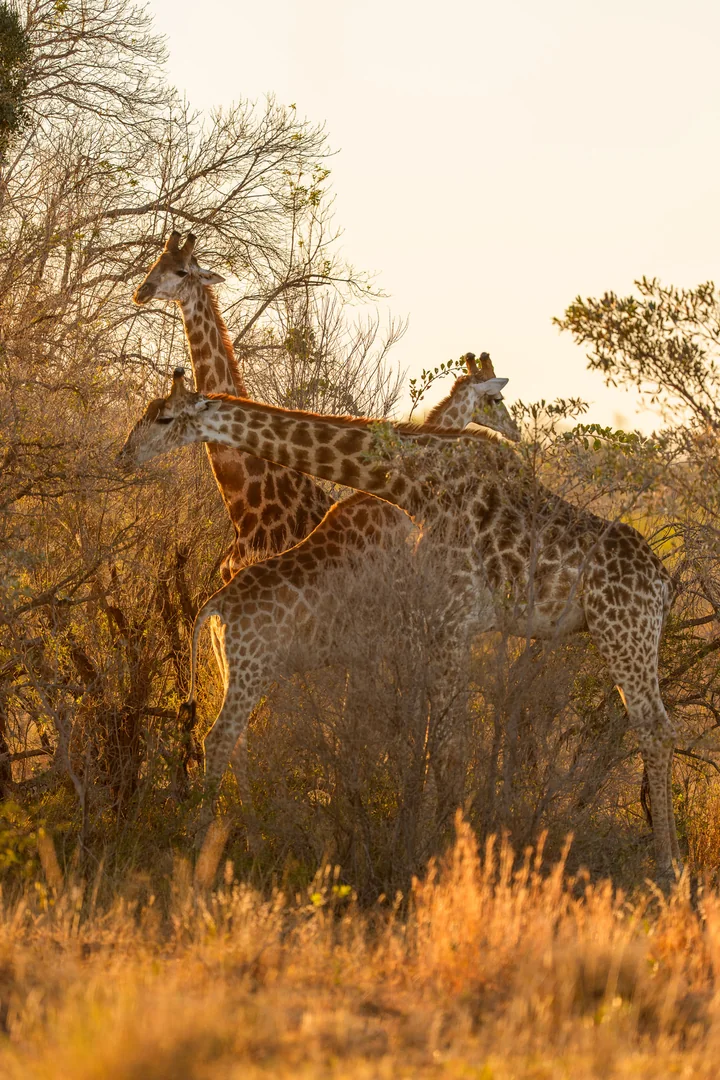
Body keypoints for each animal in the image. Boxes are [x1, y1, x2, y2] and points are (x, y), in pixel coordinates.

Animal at [118, 369, 680, 884]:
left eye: (165, 418)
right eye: (147, 411)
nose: (125, 455)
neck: (414, 482)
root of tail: (663, 581)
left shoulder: (450, 620)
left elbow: (446, 746)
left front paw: (449, 853)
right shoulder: (443, 625)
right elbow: (430, 738)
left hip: (621, 628)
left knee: (654, 728)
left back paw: (669, 869)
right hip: (633, 635)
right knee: (659, 727)